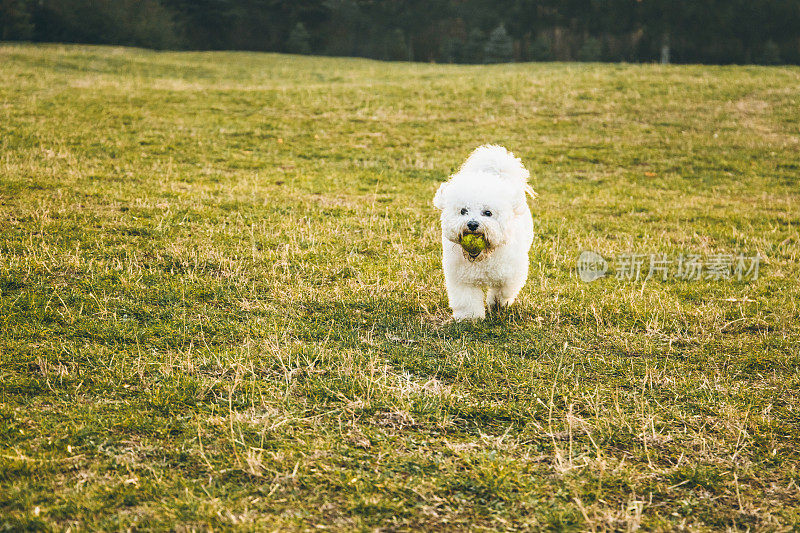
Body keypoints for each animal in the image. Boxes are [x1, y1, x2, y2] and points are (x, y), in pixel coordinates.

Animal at [434, 144, 536, 320]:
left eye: (488, 213)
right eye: (463, 211)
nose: (472, 224)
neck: (482, 257)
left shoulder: (511, 274)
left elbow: (502, 291)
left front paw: (497, 304)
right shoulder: (462, 279)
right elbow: (467, 300)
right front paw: (470, 318)